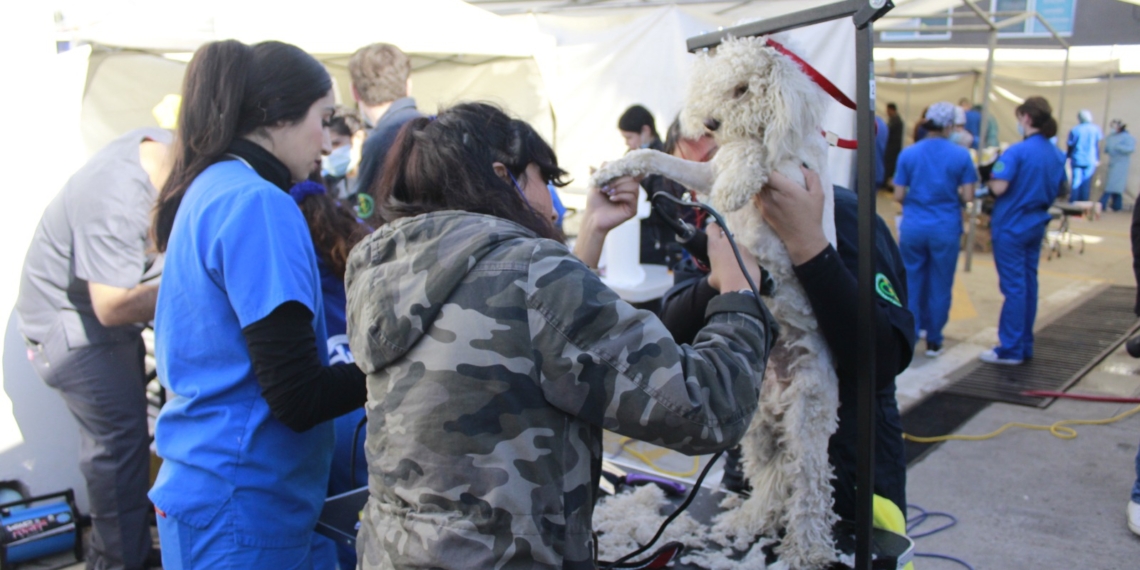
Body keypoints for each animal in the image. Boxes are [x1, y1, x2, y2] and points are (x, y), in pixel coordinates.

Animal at [592, 34, 843, 565]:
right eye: (714, 84)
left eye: (744, 88)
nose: (711, 124)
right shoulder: (703, 171)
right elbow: (661, 159)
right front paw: (615, 168)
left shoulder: (793, 173)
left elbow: (750, 154)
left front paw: (734, 187)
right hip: (760, 421)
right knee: (770, 476)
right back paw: (753, 520)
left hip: (807, 413)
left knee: (810, 486)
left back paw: (806, 549)